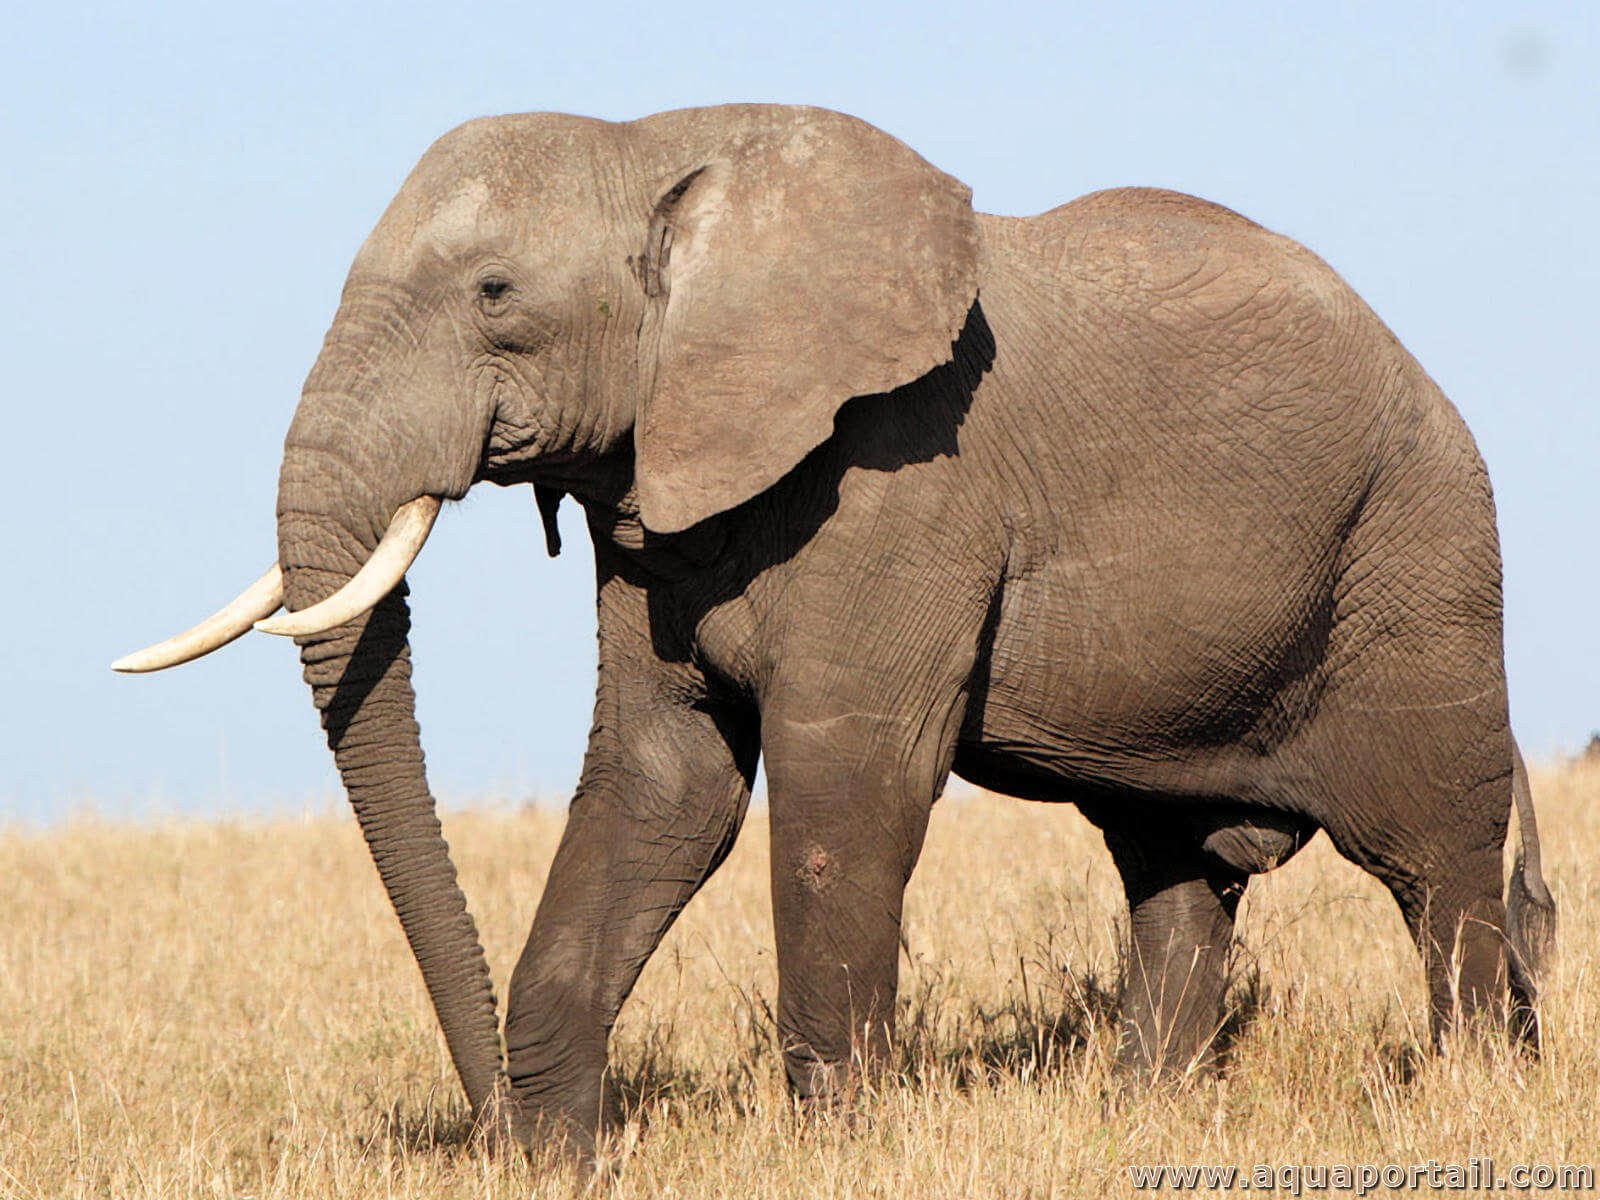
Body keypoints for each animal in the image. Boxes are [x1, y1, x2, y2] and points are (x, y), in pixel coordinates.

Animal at [121, 105, 1548, 1158]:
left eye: (494, 292)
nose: (490, 1129)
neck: (665, 149)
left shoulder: (904, 484)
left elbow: (845, 781)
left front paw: (833, 1152)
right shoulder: (662, 494)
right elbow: (664, 783)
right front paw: (566, 1159)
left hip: (1418, 556)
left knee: (1435, 863)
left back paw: (1473, 1092)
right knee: (1173, 874)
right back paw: (1135, 1114)